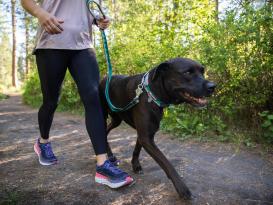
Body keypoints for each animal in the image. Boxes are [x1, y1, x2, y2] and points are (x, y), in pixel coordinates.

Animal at [98, 57, 215, 199]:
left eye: (202, 71)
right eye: (187, 72)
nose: (213, 86)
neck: (151, 93)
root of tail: (104, 78)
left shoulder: (145, 134)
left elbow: (137, 149)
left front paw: (135, 165)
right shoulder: (146, 137)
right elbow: (167, 164)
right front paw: (182, 188)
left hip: (116, 119)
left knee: (107, 130)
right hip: (102, 115)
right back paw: (109, 156)